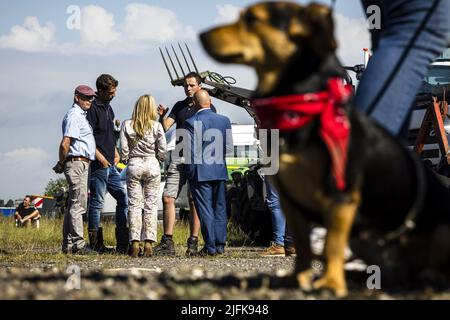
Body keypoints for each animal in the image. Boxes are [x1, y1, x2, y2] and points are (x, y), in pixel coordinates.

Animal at [200, 1, 450, 298]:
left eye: (252, 19)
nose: (202, 35)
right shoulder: (290, 200)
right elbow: (303, 246)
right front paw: (299, 278)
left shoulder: (340, 192)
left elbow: (332, 241)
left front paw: (330, 283)